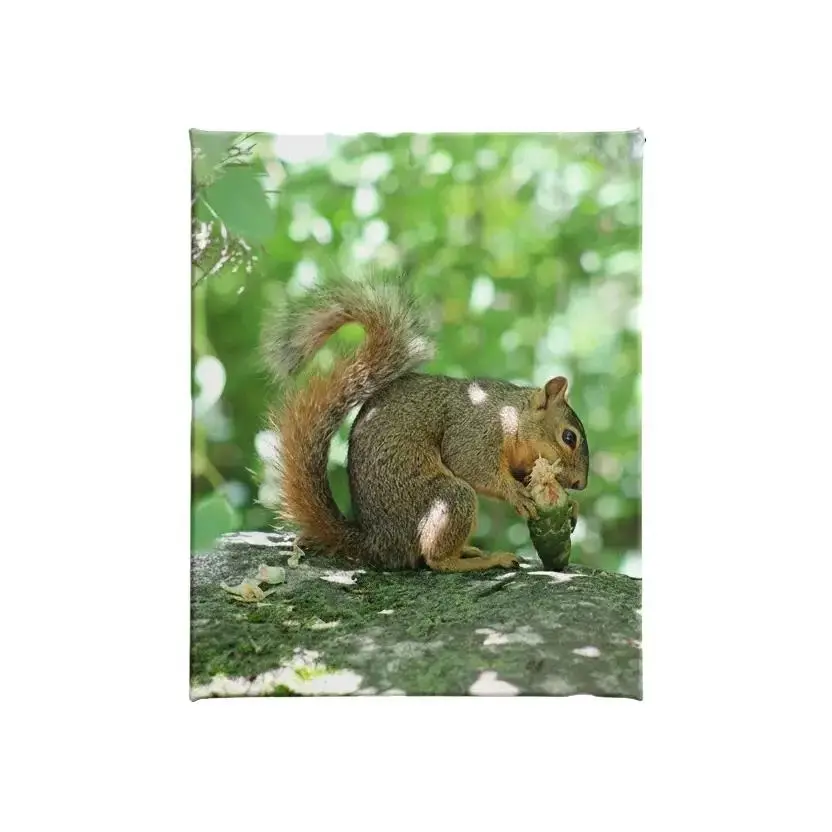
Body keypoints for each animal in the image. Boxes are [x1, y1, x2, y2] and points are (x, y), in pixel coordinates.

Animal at [261, 271, 589, 573]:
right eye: (569, 437)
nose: (580, 484)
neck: (510, 415)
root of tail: (378, 544)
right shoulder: (474, 429)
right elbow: (469, 463)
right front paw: (516, 493)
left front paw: (571, 504)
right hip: (449, 498)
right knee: (436, 560)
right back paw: (485, 560)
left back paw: (470, 550)